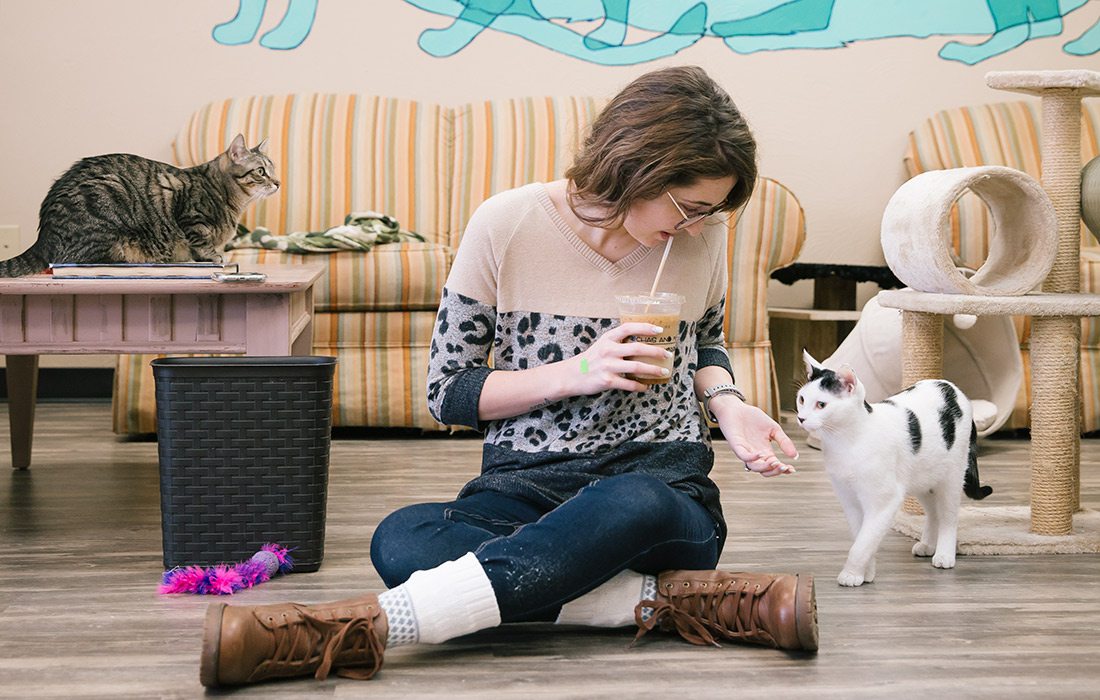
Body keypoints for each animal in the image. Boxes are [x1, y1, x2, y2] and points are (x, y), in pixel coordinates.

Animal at [1, 133, 275, 276]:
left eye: (273, 170)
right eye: (261, 171)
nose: (278, 182)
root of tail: (43, 237)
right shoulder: (188, 214)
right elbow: (201, 243)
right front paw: (213, 257)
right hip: (107, 198)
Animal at [796, 350, 994, 585]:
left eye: (821, 405)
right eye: (801, 399)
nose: (801, 418)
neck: (846, 442)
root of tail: (952, 387)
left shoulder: (884, 501)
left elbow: (862, 543)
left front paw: (851, 574)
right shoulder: (850, 500)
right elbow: (862, 537)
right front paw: (866, 573)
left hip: (952, 476)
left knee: (948, 516)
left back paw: (944, 555)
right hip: (923, 479)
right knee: (933, 512)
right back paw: (927, 545)